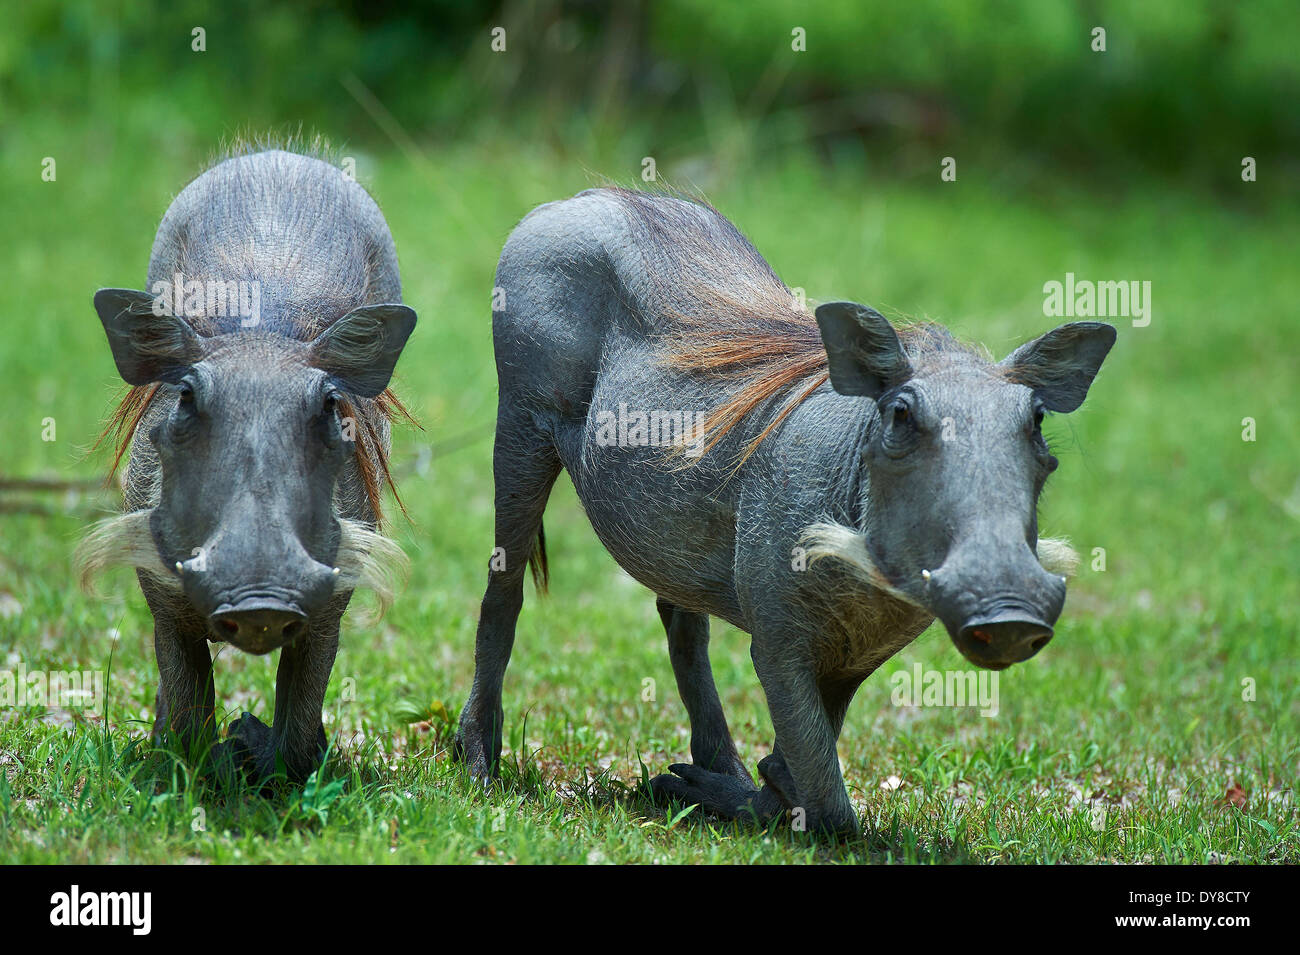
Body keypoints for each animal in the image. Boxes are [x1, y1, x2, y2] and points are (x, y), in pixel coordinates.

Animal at [77, 145, 416, 783]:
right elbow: (187, 704)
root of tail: (281, 154)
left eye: (329, 404)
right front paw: (196, 759)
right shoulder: (161, 589)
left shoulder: (332, 600)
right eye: (186, 397)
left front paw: (256, 751)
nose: (262, 601)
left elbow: (300, 723)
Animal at [455, 188, 1114, 836]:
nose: (1011, 612)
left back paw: (713, 768)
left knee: (683, 624)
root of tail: (572, 199)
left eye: (1036, 420)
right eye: (901, 415)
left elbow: (809, 751)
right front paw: (744, 796)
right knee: (503, 592)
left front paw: (751, 783)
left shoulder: (862, 650)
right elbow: (830, 807)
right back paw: (479, 765)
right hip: (519, 427)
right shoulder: (777, 638)